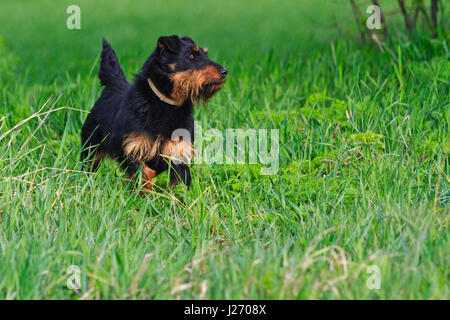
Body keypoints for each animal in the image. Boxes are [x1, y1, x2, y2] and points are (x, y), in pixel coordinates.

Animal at [80, 35, 225, 190]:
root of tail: (114, 85)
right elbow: (145, 173)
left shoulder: (180, 155)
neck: (166, 105)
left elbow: (179, 186)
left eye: (206, 54)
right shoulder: (129, 149)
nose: (224, 72)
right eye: (191, 55)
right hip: (91, 149)